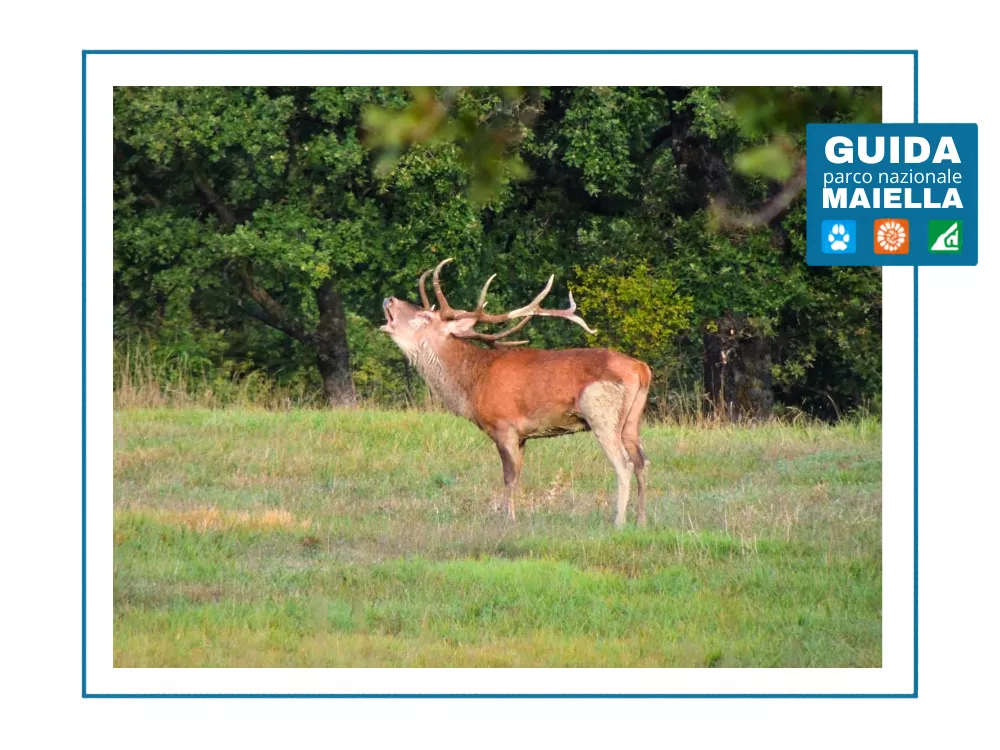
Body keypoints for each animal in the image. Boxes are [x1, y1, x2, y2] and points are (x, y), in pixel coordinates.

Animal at [380, 259, 652, 527]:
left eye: (425, 316)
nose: (389, 299)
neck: (472, 383)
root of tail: (641, 369)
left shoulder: (504, 425)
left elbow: (509, 476)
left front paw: (507, 519)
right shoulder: (522, 435)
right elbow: (518, 475)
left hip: (602, 414)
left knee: (624, 464)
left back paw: (619, 522)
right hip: (632, 420)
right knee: (641, 461)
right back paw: (641, 521)